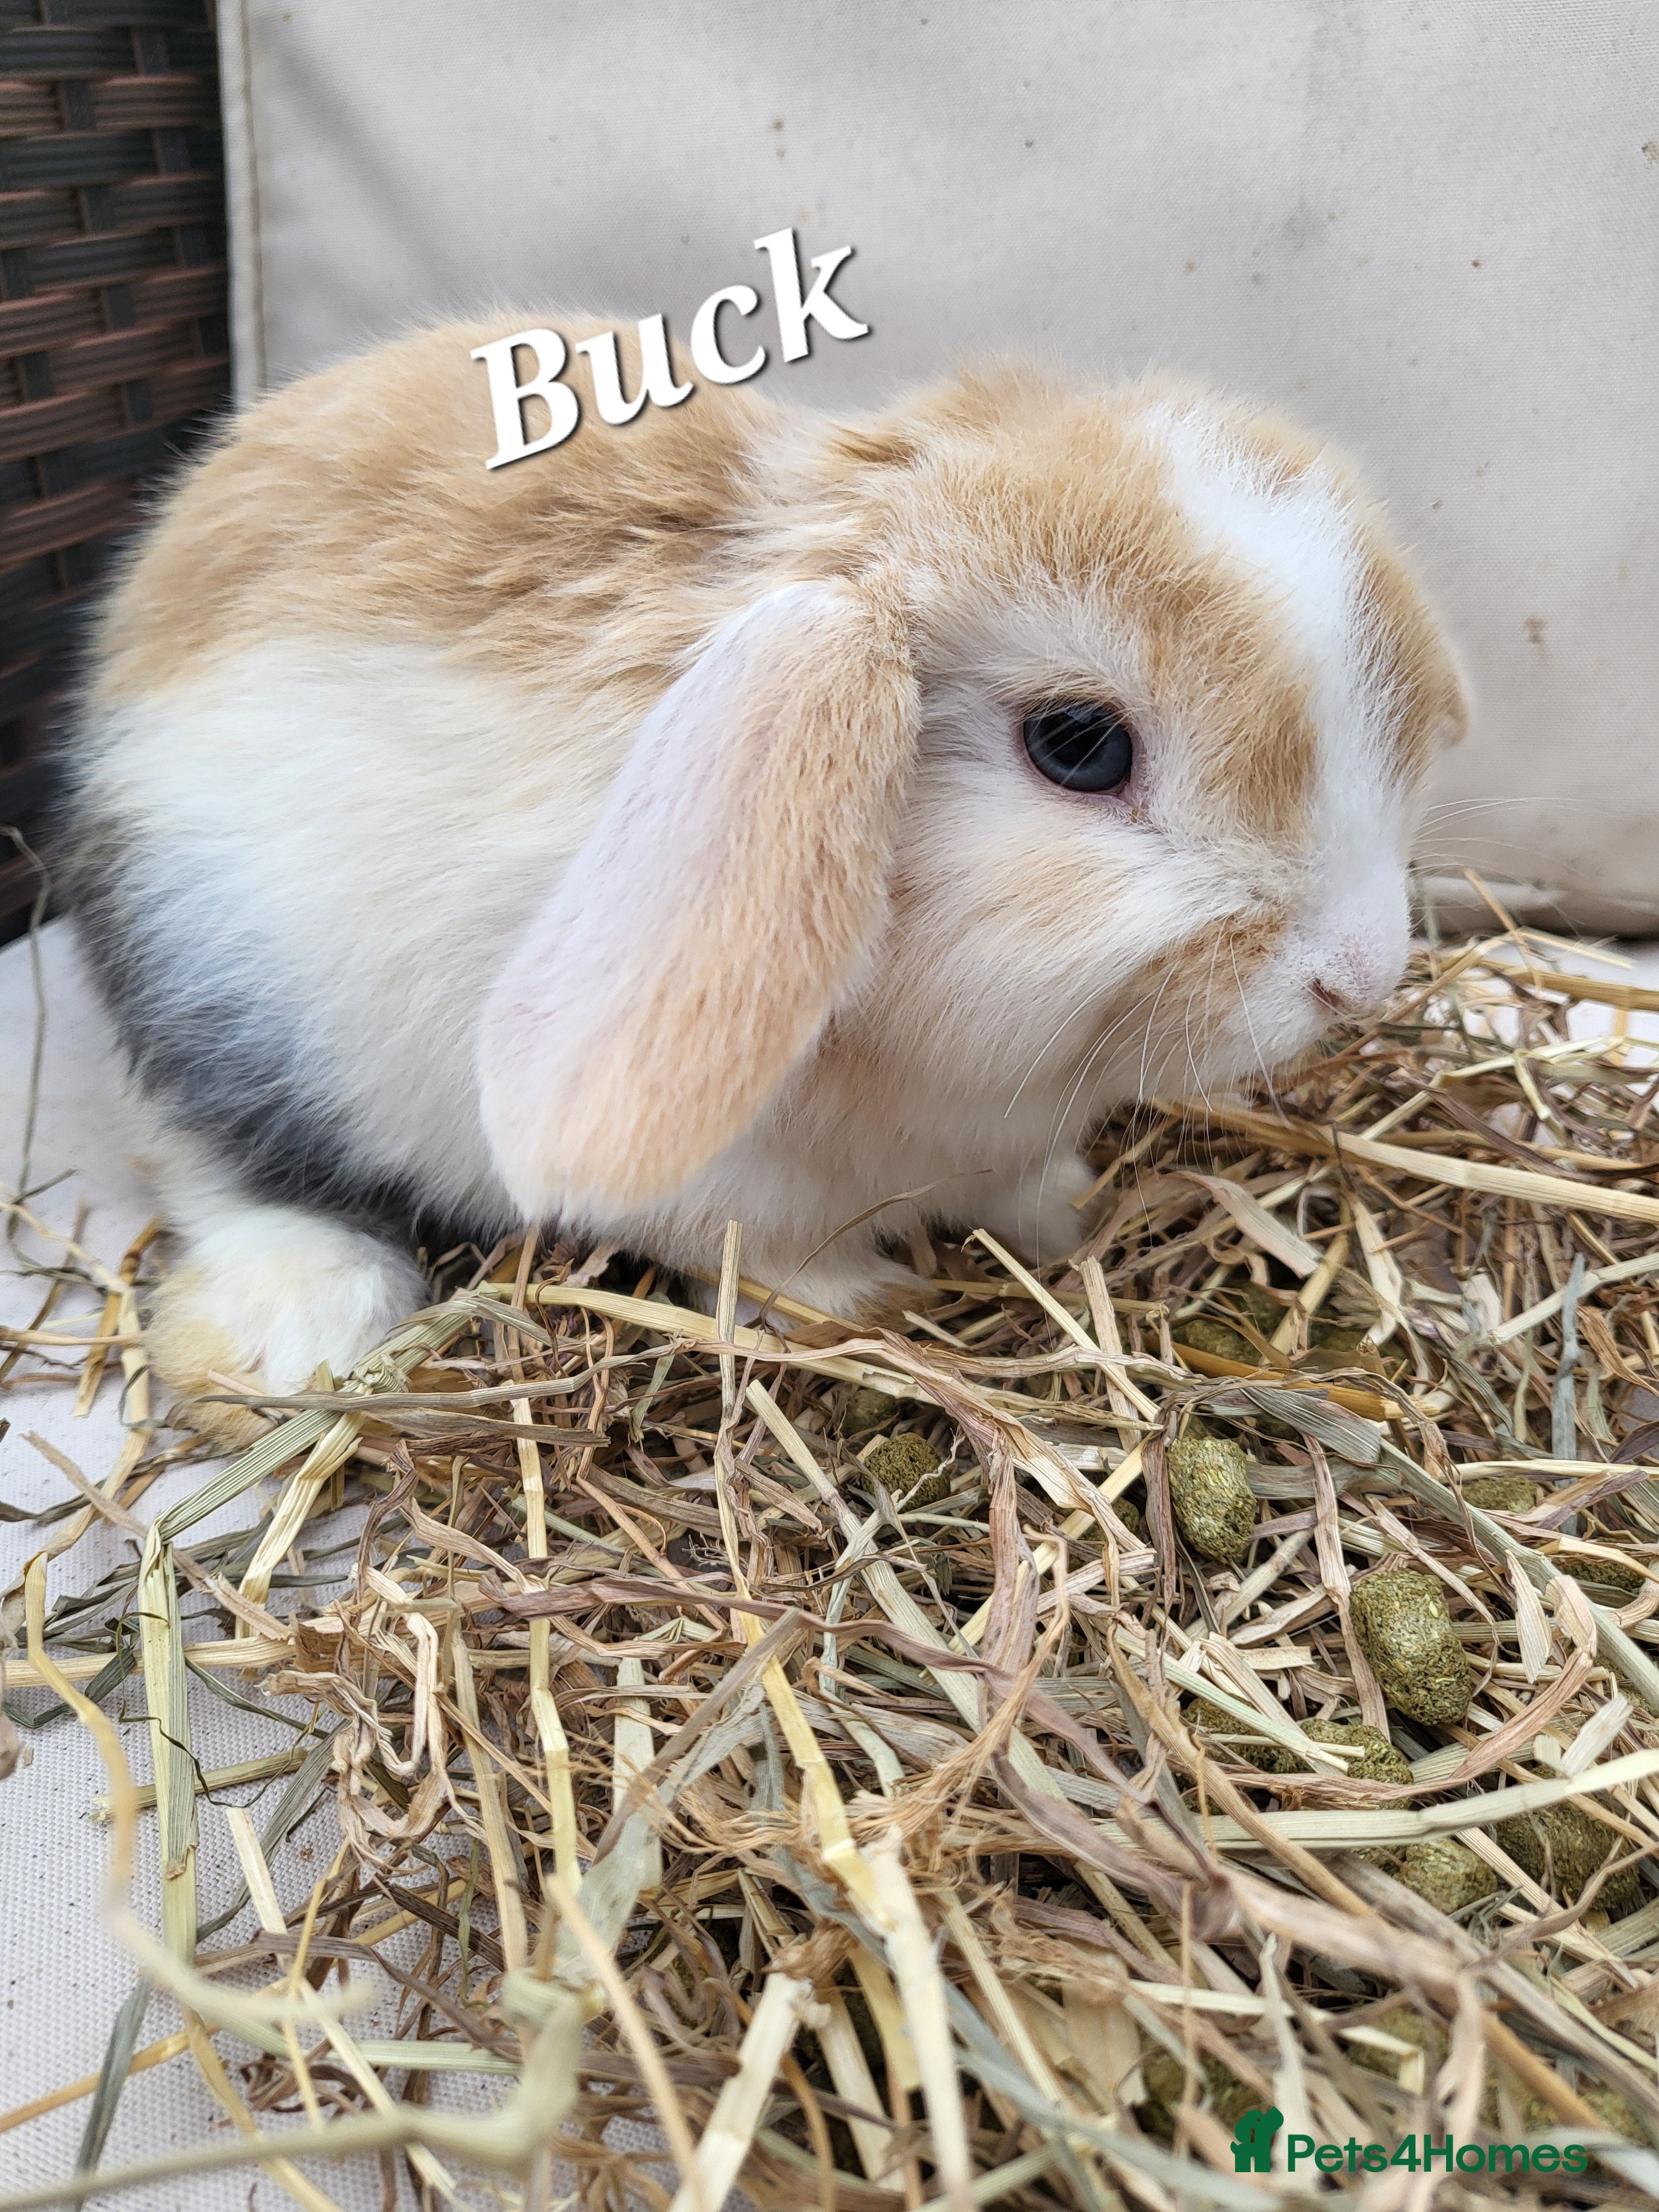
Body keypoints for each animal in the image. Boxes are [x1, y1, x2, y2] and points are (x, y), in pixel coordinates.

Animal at [65, 320, 1468, 1443]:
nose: (1361, 974)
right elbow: (775, 1255)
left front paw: (1065, 1216)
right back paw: (290, 1332)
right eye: (1078, 744)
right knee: (220, 1160)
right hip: (227, 994)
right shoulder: (727, 1185)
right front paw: (868, 1302)